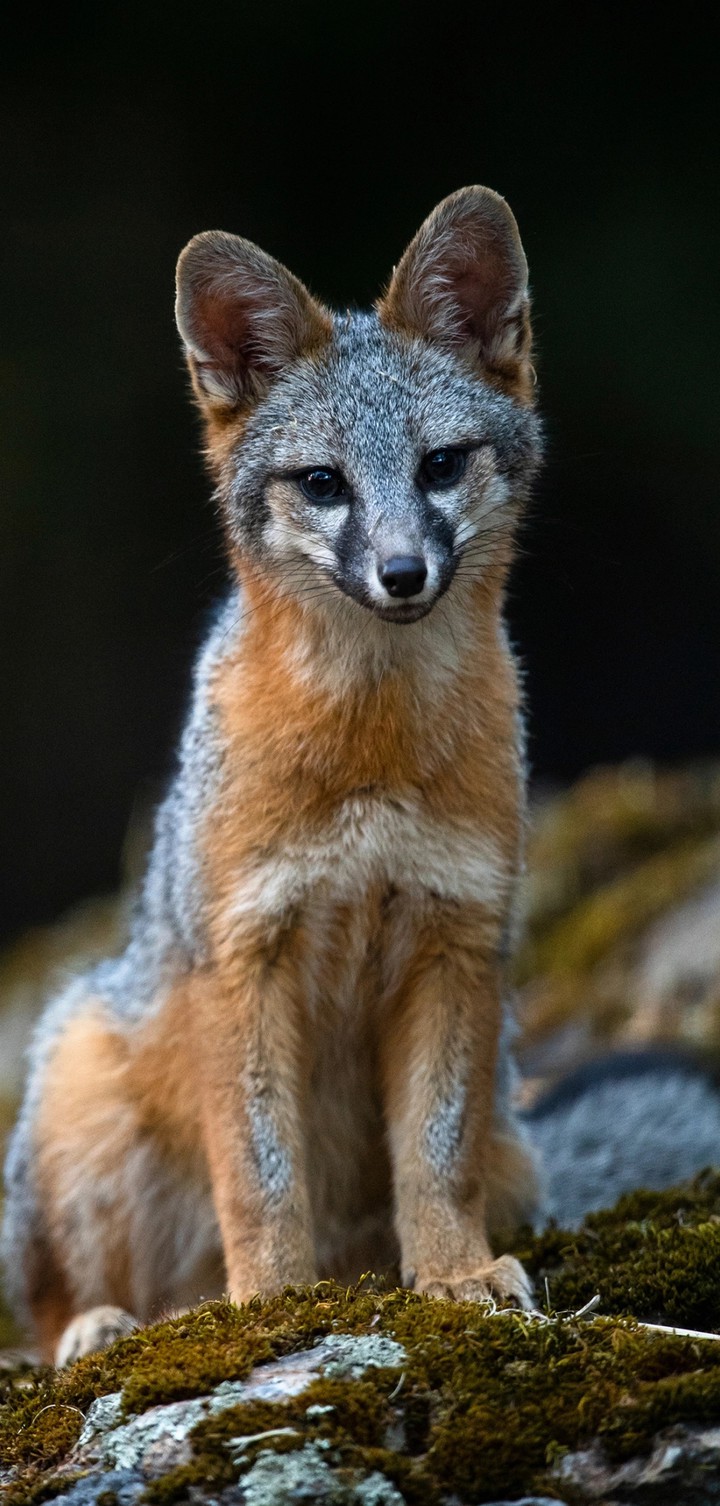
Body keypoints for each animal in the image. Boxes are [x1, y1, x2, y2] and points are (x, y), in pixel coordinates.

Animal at [3, 185, 546, 1366]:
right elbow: (259, 1173)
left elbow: (437, 1158)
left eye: (441, 466)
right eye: (325, 485)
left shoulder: (457, 940)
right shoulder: (245, 957)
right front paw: (276, 1308)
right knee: (63, 1303)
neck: (370, 753)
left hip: (519, 1143)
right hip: (81, 1103)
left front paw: (453, 1277)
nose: (402, 573)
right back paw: (108, 1328)